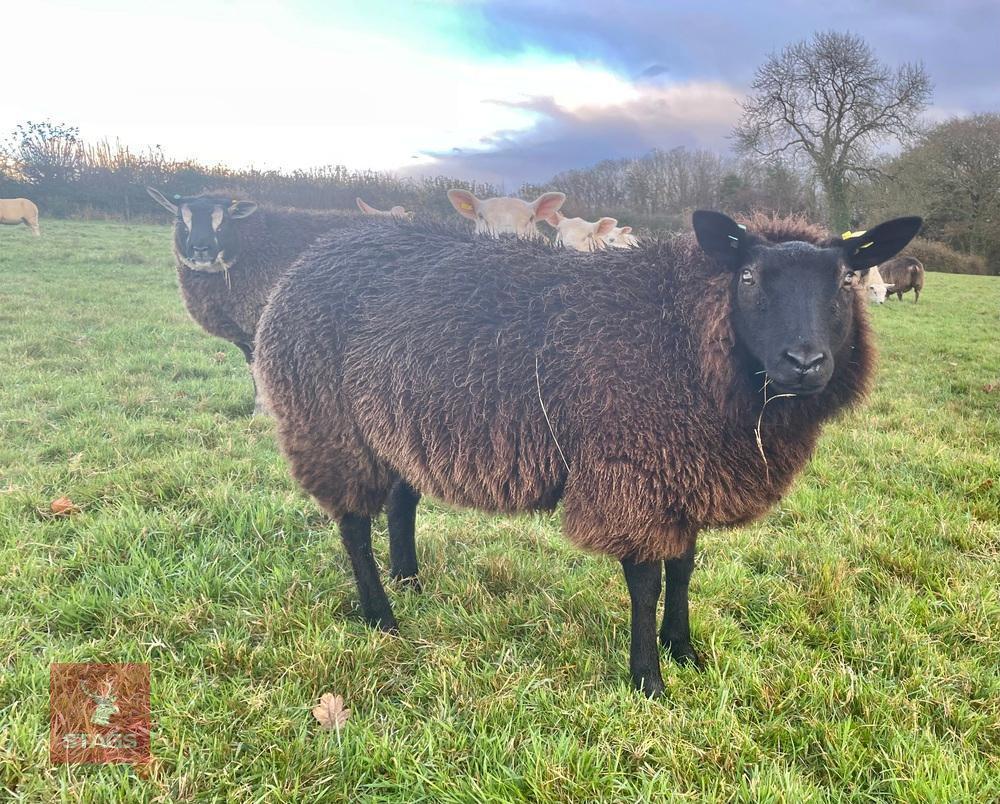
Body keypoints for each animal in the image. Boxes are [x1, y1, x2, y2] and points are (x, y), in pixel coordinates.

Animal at [254, 210, 921, 697]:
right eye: (749, 278)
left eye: (845, 281)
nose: (804, 362)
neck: (685, 336)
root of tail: (311, 256)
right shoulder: (633, 471)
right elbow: (646, 581)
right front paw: (649, 681)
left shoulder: (683, 471)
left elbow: (684, 567)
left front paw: (686, 651)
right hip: (329, 424)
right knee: (352, 522)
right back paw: (381, 615)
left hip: (391, 424)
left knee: (399, 500)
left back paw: (410, 580)